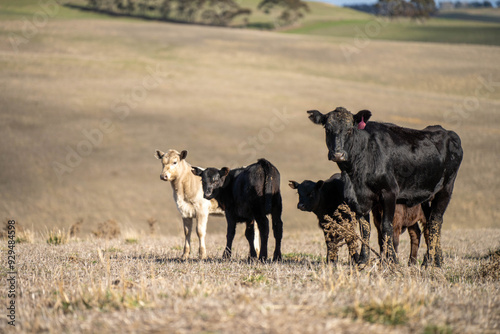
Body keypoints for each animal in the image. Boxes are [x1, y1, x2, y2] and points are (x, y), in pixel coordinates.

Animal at [308, 108, 464, 268]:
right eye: (327, 129)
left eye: (350, 129)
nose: (338, 154)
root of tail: (447, 132)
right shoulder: (359, 199)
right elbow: (365, 229)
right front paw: (363, 260)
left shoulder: (389, 193)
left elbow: (386, 227)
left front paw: (391, 260)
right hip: (425, 197)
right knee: (429, 224)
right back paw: (434, 260)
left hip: (446, 188)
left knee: (435, 221)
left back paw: (433, 261)